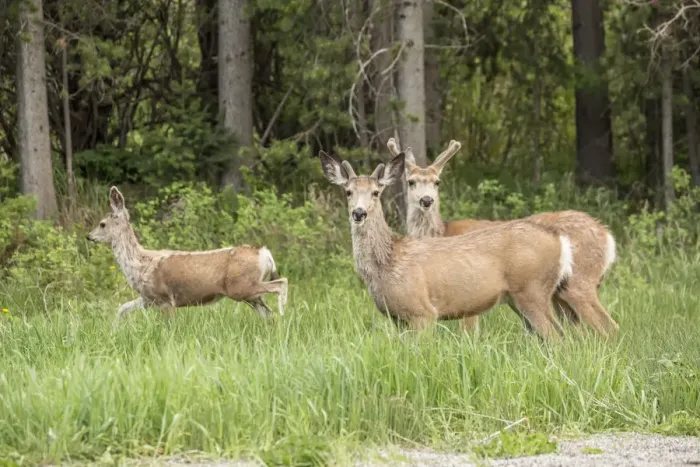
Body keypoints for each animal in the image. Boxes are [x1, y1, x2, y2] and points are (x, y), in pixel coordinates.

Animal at [87, 187, 288, 325]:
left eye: (102, 224)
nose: (89, 236)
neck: (140, 264)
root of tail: (265, 253)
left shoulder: (165, 299)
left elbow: (170, 327)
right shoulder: (149, 298)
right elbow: (122, 308)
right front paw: (113, 330)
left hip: (241, 287)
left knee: (281, 283)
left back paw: (283, 309)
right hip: (249, 294)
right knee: (268, 314)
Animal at [320, 150, 575, 339]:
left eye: (375, 192)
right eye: (348, 191)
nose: (359, 213)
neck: (388, 262)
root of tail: (560, 241)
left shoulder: (422, 311)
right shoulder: (398, 318)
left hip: (533, 290)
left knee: (557, 337)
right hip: (520, 297)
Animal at [387, 137, 619, 337]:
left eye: (437, 182)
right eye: (411, 182)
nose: (426, 200)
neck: (441, 232)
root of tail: (607, 235)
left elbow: (469, 333)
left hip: (579, 279)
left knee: (607, 325)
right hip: (559, 293)